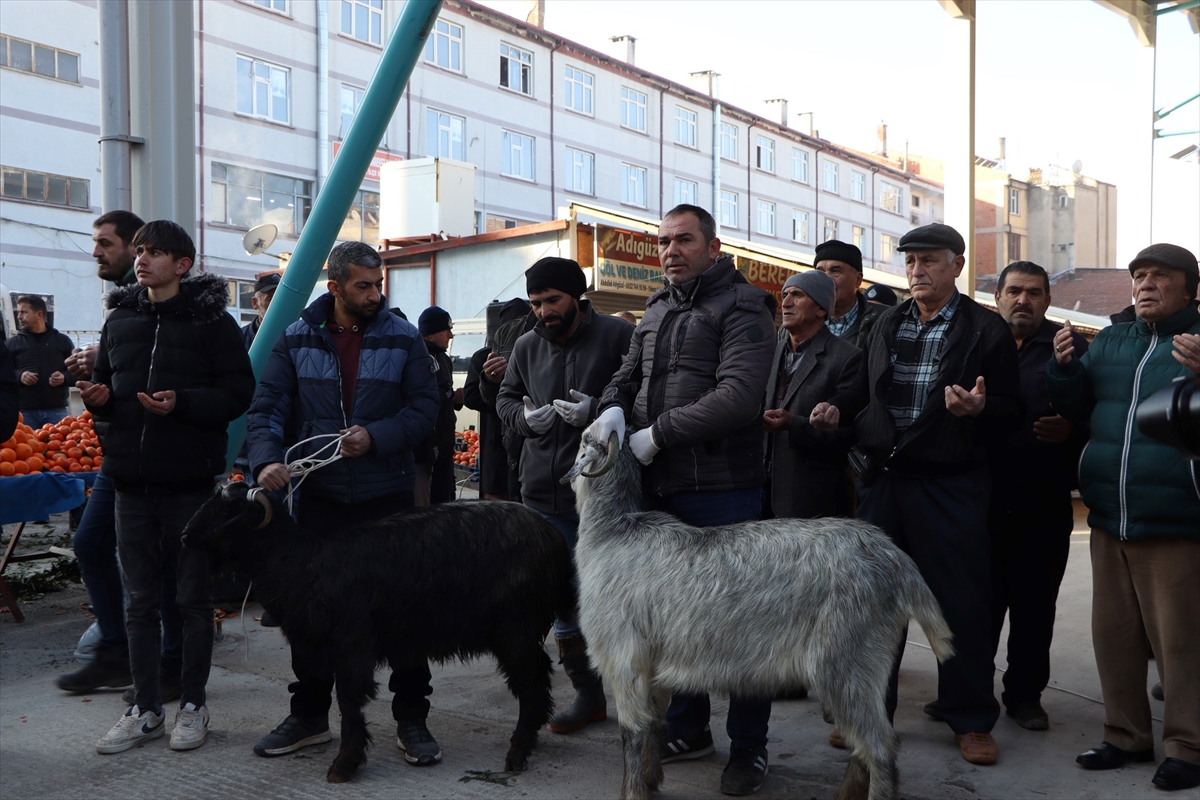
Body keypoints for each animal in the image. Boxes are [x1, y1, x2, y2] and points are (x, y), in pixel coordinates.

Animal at [181, 484, 571, 786]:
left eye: (227, 509)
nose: (184, 535)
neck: (305, 566)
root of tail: (553, 536)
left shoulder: (352, 647)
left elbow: (349, 704)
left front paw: (344, 765)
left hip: (515, 626)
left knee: (532, 684)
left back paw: (518, 752)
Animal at [564, 431, 955, 800]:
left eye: (583, 439)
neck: (612, 535)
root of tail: (897, 560)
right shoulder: (650, 667)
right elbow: (653, 723)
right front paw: (650, 780)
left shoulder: (623, 660)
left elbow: (632, 733)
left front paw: (632, 791)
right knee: (867, 745)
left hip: (847, 663)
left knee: (880, 746)